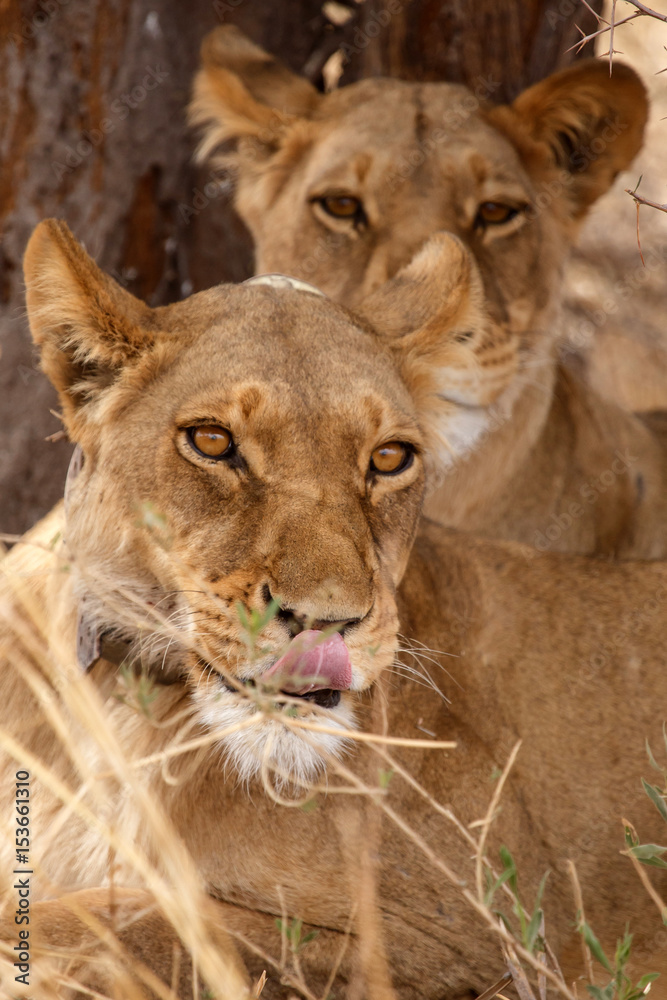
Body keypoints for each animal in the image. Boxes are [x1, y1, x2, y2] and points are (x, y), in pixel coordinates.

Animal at [0, 219, 666, 999]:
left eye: (389, 457)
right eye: (212, 441)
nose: (327, 621)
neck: (124, 704)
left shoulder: (472, 940)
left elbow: (130, 924)